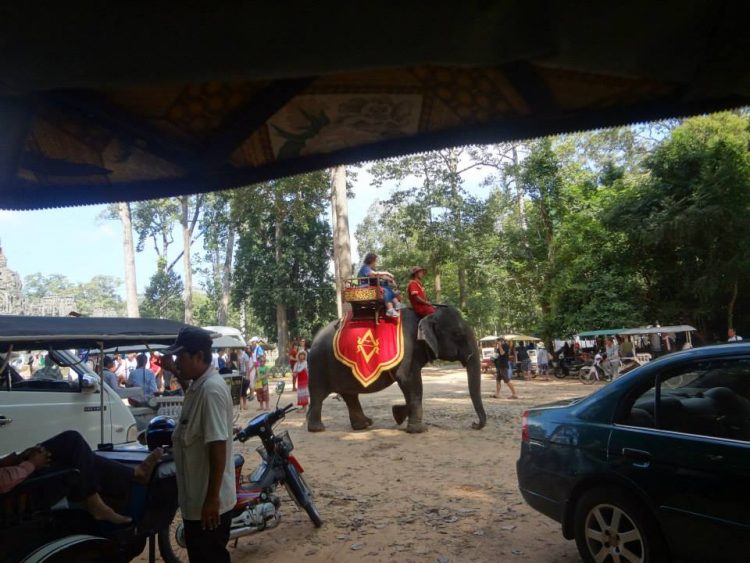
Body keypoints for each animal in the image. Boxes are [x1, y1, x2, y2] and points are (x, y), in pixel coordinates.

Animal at [306, 306, 488, 434]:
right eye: (457, 334)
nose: (473, 424)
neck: (426, 313)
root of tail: (312, 340)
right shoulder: (408, 350)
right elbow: (410, 381)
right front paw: (419, 430)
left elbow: (411, 387)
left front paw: (398, 414)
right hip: (318, 365)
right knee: (318, 394)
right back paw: (317, 428)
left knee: (350, 395)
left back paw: (364, 424)